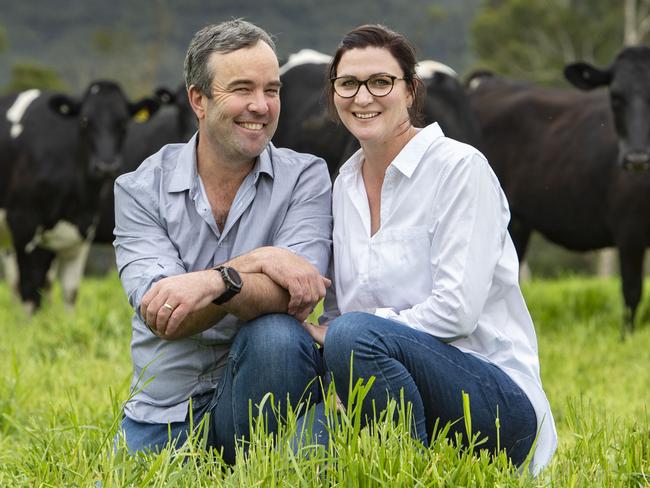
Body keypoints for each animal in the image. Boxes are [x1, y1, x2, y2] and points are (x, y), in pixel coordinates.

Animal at [0, 81, 159, 310]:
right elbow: (30, 294)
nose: (106, 166)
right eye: (84, 121)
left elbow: (70, 293)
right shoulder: (23, 224)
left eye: (122, 122)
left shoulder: (81, 234)